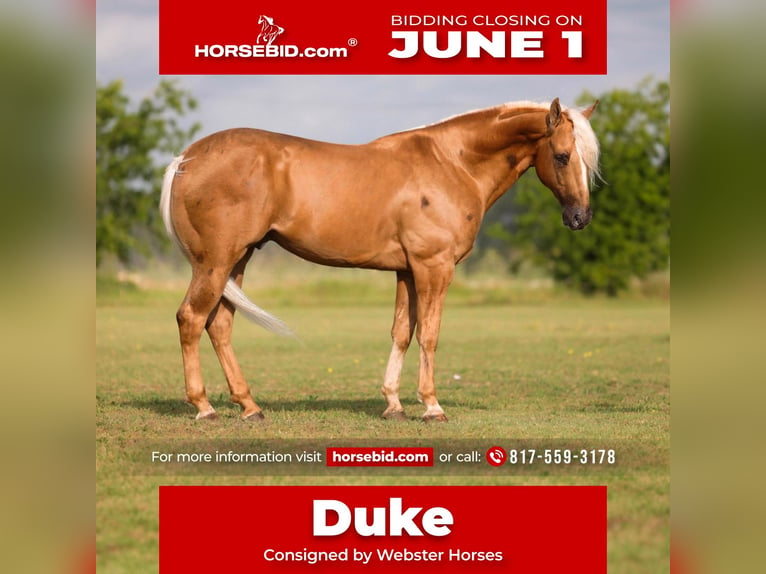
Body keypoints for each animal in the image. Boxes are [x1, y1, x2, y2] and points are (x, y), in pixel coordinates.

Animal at [160, 98, 600, 422]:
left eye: (587, 161)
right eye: (562, 156)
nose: (580, 218)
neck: (452, 163)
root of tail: (186, 158)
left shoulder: (407, 270)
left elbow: (402, 332)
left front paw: (394, 405)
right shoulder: (433, 267)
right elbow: (429, 335)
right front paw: (432, 406)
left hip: (237, 261)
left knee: (219, 325)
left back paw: (250, 407)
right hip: (215, 263)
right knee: (191, 319)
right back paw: (204, 408)